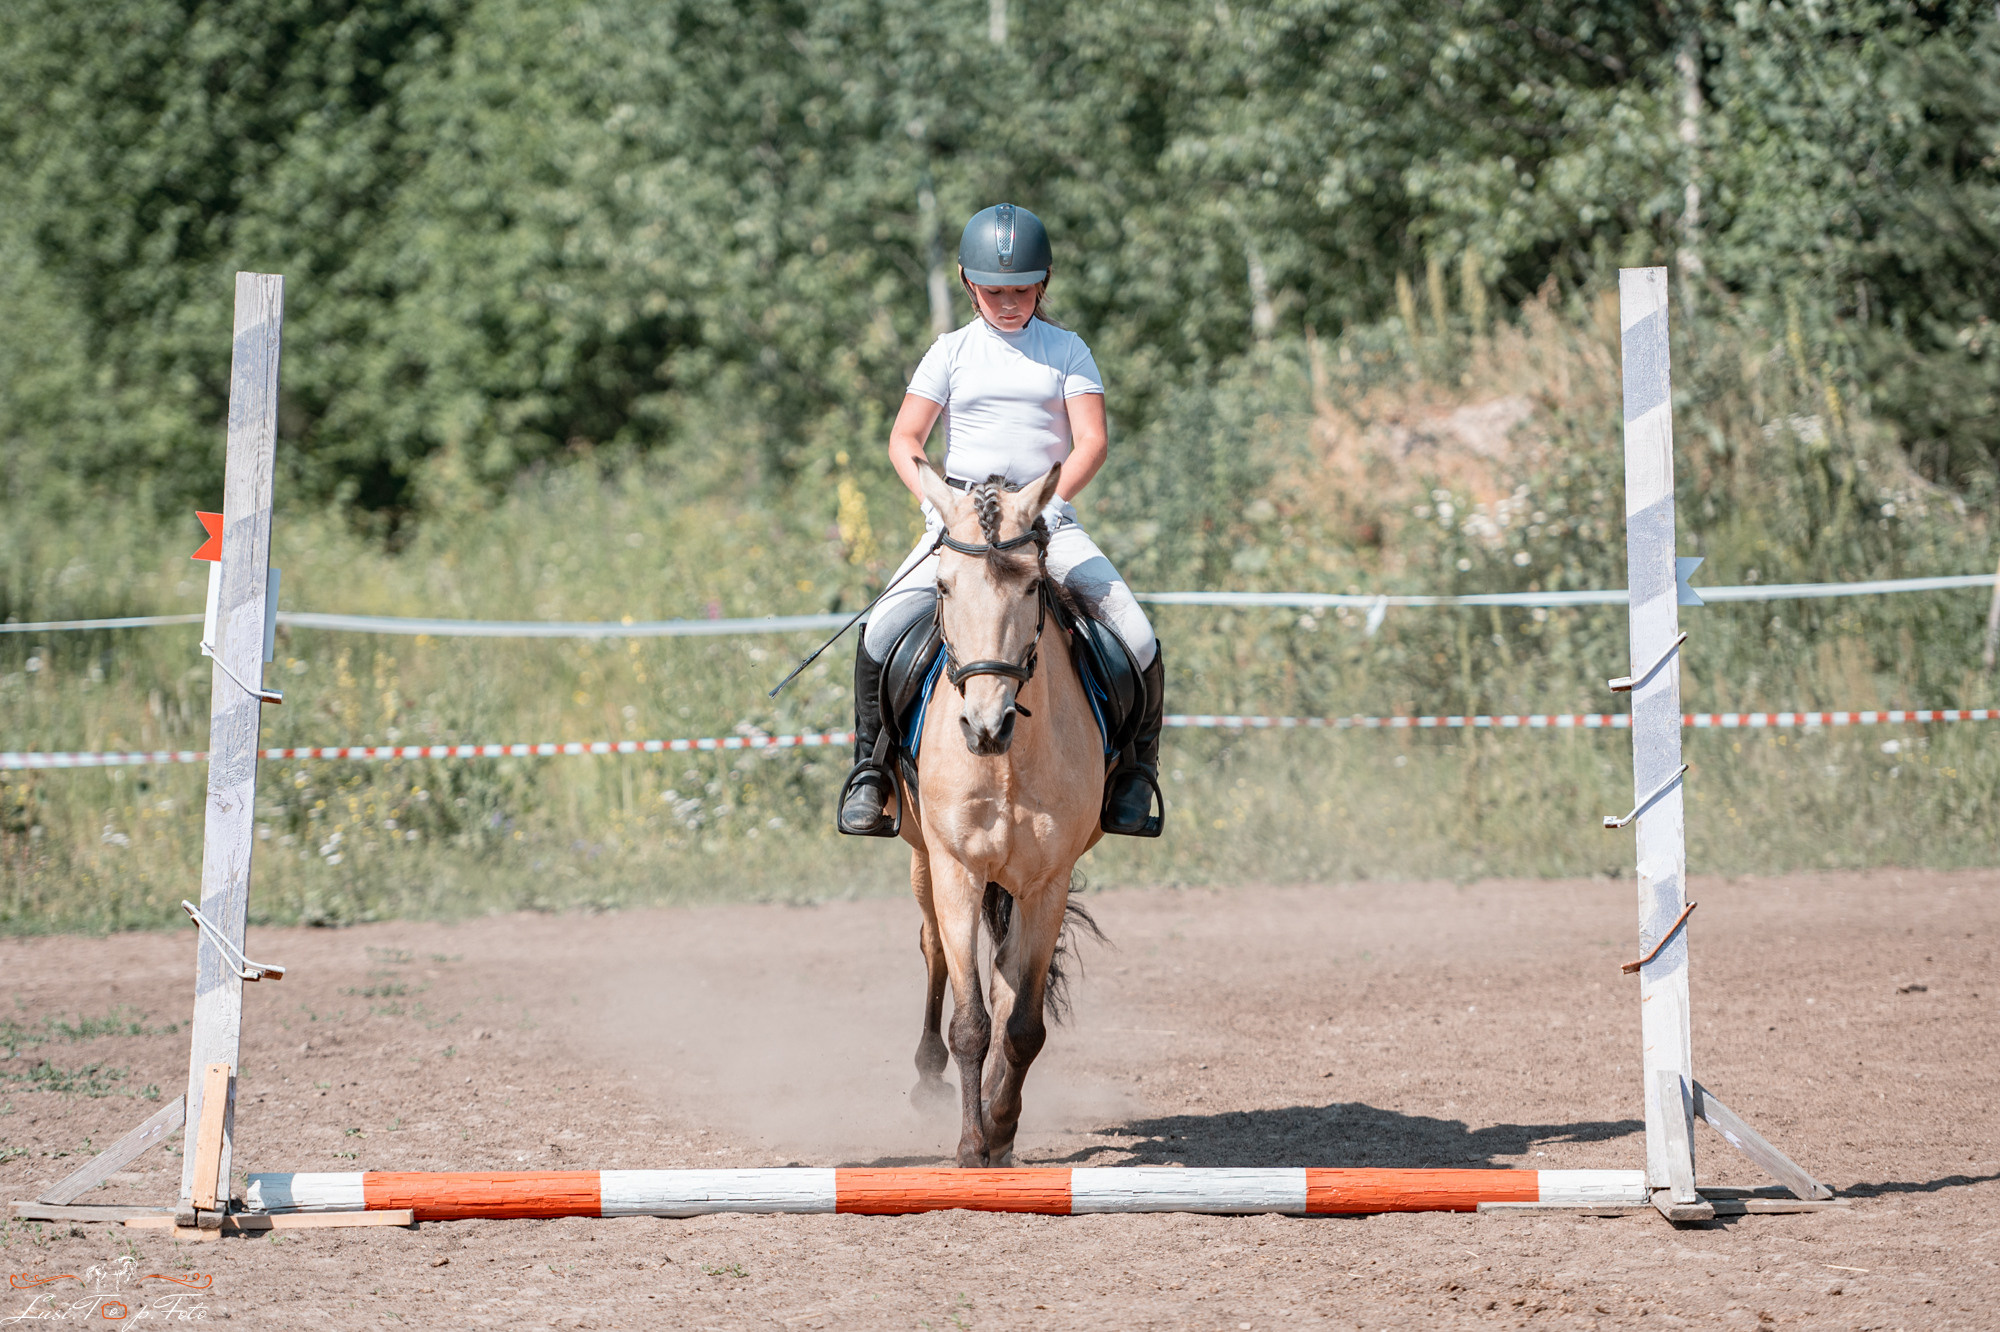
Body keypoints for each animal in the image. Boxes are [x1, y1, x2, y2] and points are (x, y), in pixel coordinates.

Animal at [896, 461, 1108, 1168]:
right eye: (943, 587)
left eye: (1033, 587)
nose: (985, 726)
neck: (1005, 761)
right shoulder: (957, 868)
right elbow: (970, 1023)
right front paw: (969, 1147)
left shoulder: (1047, 883)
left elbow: (1020, 1024)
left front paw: (1002, 1131)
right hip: (924, 860)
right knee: (935, 948)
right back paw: (928, 1077)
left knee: (1006, 983)